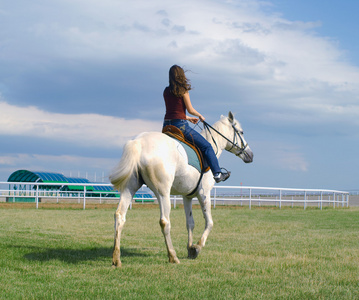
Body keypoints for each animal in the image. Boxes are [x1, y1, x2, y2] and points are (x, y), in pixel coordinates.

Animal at [109, 111, 253, 266]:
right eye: (241, 132)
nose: (250, 155)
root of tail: (139, 142)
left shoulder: (187, 196)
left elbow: (190, 223)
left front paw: (190, 248)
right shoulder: (204, 194)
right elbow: (209, 222)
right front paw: (197, 247)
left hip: (129, 188)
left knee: (120, 216)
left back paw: (116, 258)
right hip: (163, 193)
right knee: (165, 221)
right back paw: (173, 256)